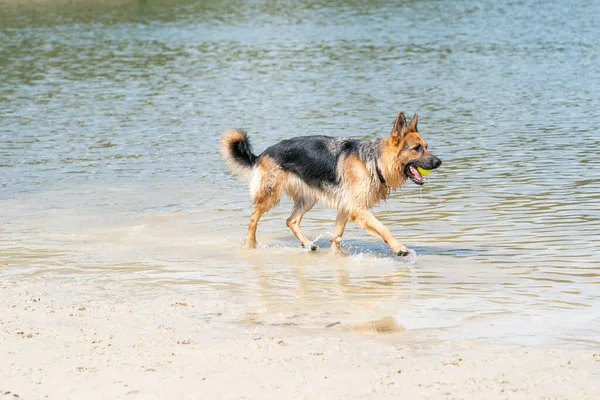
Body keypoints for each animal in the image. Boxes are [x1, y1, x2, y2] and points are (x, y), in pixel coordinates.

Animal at [220, 112, 440, 256]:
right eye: (417, 148)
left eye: (426, 147)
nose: (439, 162)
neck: (375, 160)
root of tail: (263, 153)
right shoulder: (358, 209)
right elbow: (383, 228)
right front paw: (399, 248)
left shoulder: (346, 207)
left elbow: (337, 235)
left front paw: (337, 256)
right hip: (270, 195)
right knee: (254, 217)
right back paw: (250, 244)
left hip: (308, 198)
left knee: (291, 220)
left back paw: (307, 244)